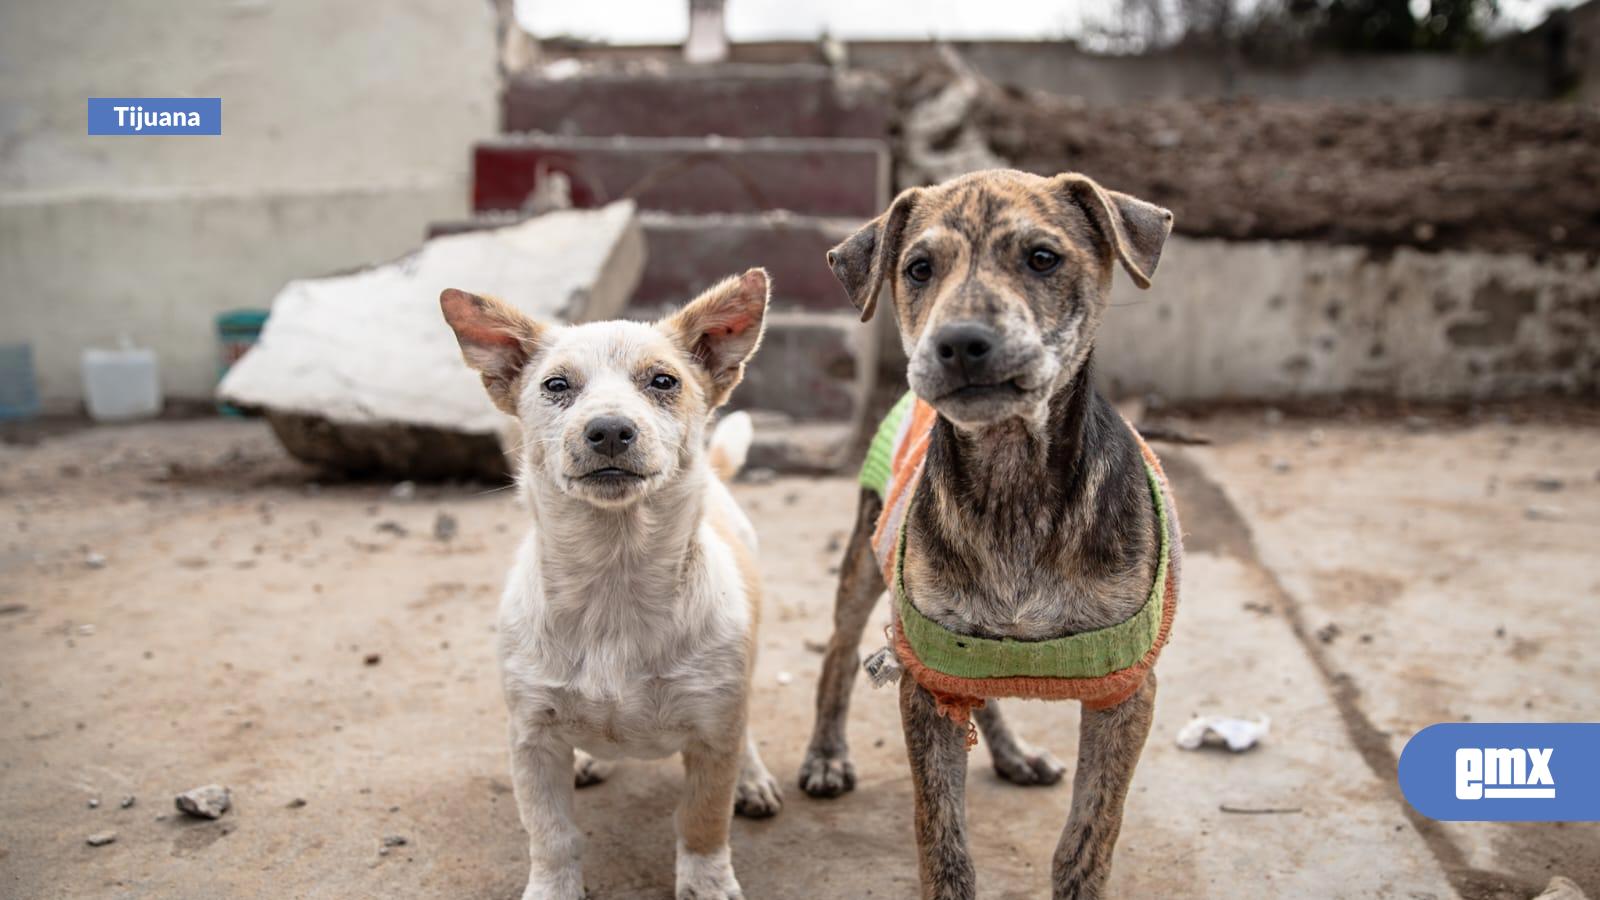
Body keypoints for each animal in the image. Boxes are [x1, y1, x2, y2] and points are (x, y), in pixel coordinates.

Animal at [441, 269, 784, 896]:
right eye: (556, 385)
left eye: (663, 381)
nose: (608, 430)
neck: (613, 582)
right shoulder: (530, 738)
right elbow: (551, 834)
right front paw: (552, 888)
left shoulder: (711, 732)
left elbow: (702, 821)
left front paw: (707, 882)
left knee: (743, 731)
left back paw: (751, 778)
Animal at [796, 169, 1177, 896]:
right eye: (918, 268)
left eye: (1042, 258)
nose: (960, 344)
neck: (1013, 488)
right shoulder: (926, 676)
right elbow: (943, 836)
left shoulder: (1125, 690)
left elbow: (1090, 834)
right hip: (866, 558)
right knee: (838, 651)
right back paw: (826, 755)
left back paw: (1014, 754)